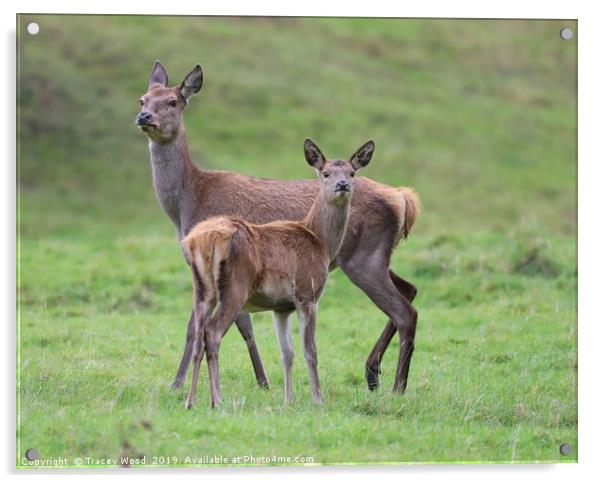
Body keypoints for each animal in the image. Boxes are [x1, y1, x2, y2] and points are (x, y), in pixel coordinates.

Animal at [180, 140, 372, 408]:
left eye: (352, 172)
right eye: (326, 173)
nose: (342, 185)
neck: (320, 243)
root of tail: (198, 241)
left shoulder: (280, 308)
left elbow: (287, 353)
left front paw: (287, 401)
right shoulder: (307, 293)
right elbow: (310, 350)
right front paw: (318, 400)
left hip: (202, 289)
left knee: (198, 335)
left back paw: (191, 401)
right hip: (236, 287)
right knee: (213, 333)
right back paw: (216, 400)